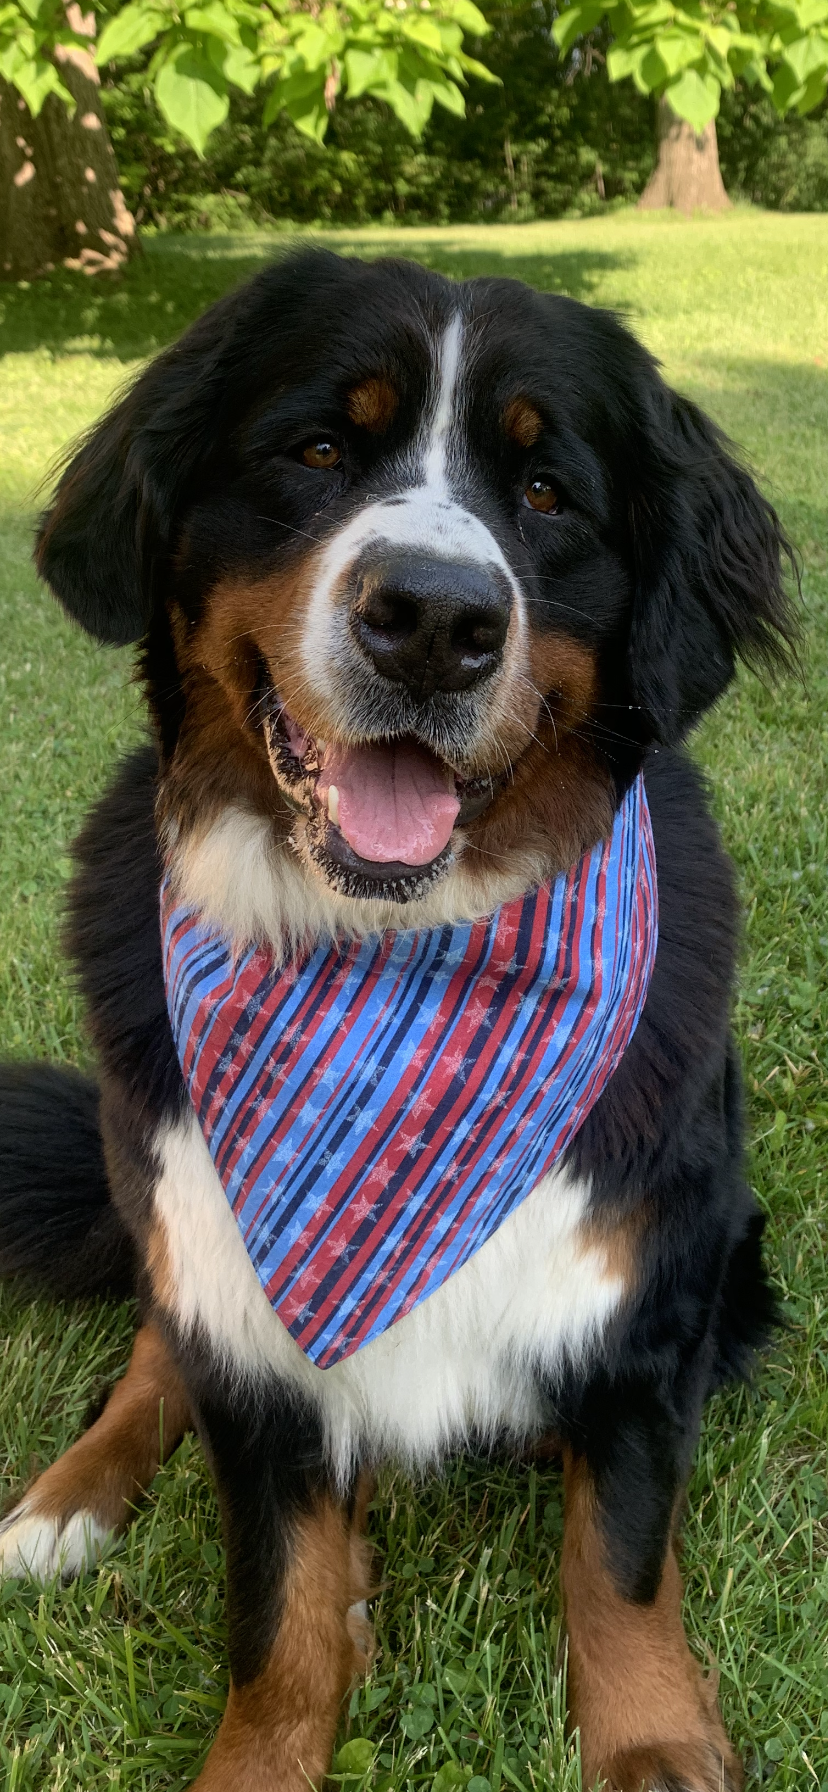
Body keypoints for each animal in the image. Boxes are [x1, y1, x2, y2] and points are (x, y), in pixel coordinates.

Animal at [0, 252, 795, 1792]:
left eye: (547, 492)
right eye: (317, 450)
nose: (433, 619)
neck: (398, 957)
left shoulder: (646, 1301)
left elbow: (620, 1557)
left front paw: (656, 1740)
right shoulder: (244, 1328)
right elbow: (278, 1612)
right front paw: (261, 1754)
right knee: (151, 1354)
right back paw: (67, 1499)